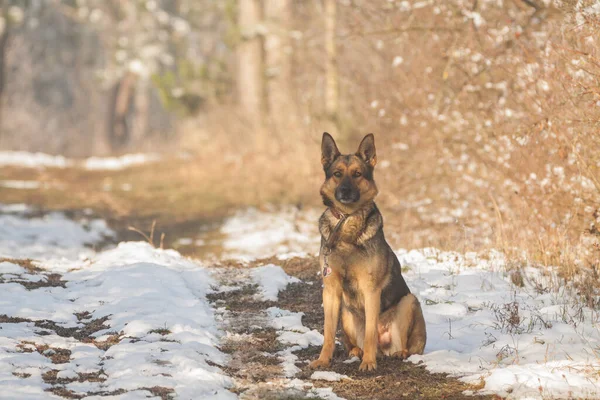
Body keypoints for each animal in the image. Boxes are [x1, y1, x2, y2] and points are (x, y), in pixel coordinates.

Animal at [310, 133, 426, 370]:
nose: (345, 191)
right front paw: (323, 359)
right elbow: (328, 332)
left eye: (357, 174)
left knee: (402, 345)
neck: (346, 220)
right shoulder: (330, 289)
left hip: (408, 303)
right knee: (356, 340)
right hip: (346, 313)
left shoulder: (371, 289)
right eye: (337, 174)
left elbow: (371, 331)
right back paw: (357, 350)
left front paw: (369, 364)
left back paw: (393, 353)